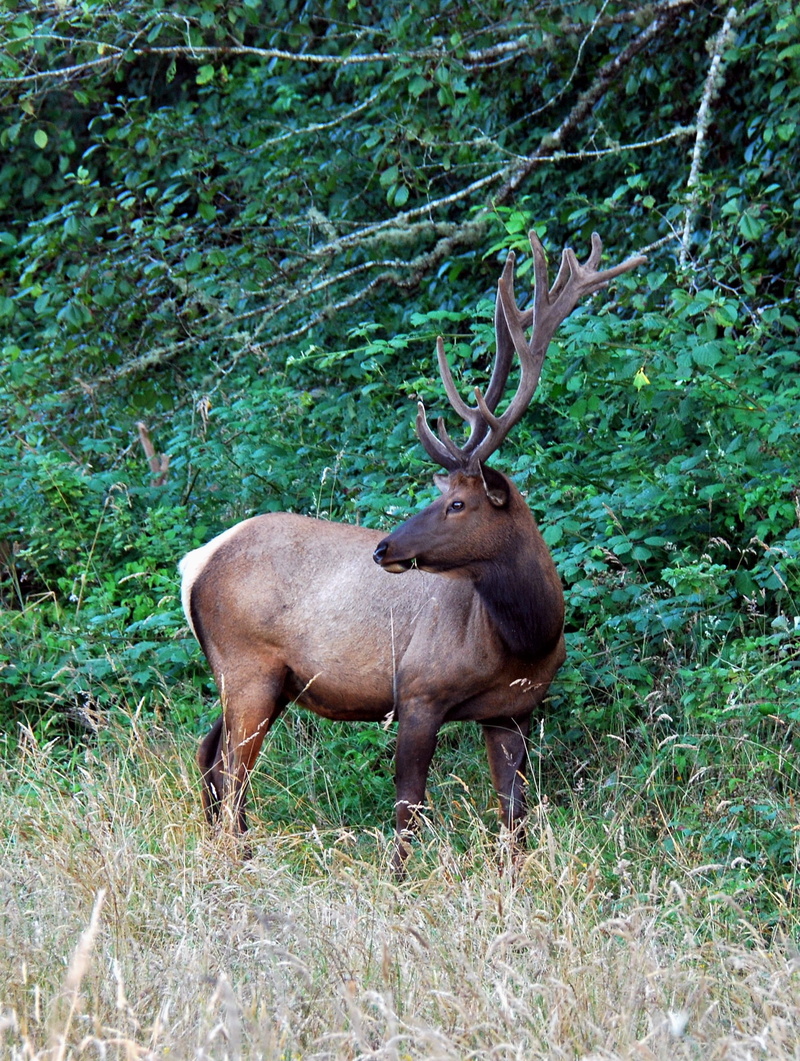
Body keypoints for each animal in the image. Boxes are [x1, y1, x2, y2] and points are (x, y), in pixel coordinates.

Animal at [180, 230, 644, 873]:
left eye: (457, 504)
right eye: (442, 495)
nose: (383, 548)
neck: (525, 637)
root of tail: (196, 562)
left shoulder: (513, 712)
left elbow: (514, 812)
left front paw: (513, 878)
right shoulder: (420, 691)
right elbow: (409, 806)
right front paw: (399, 881)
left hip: (255, 680)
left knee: (210, 755)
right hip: (246, 666)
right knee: (230, 770)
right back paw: (237, 858)